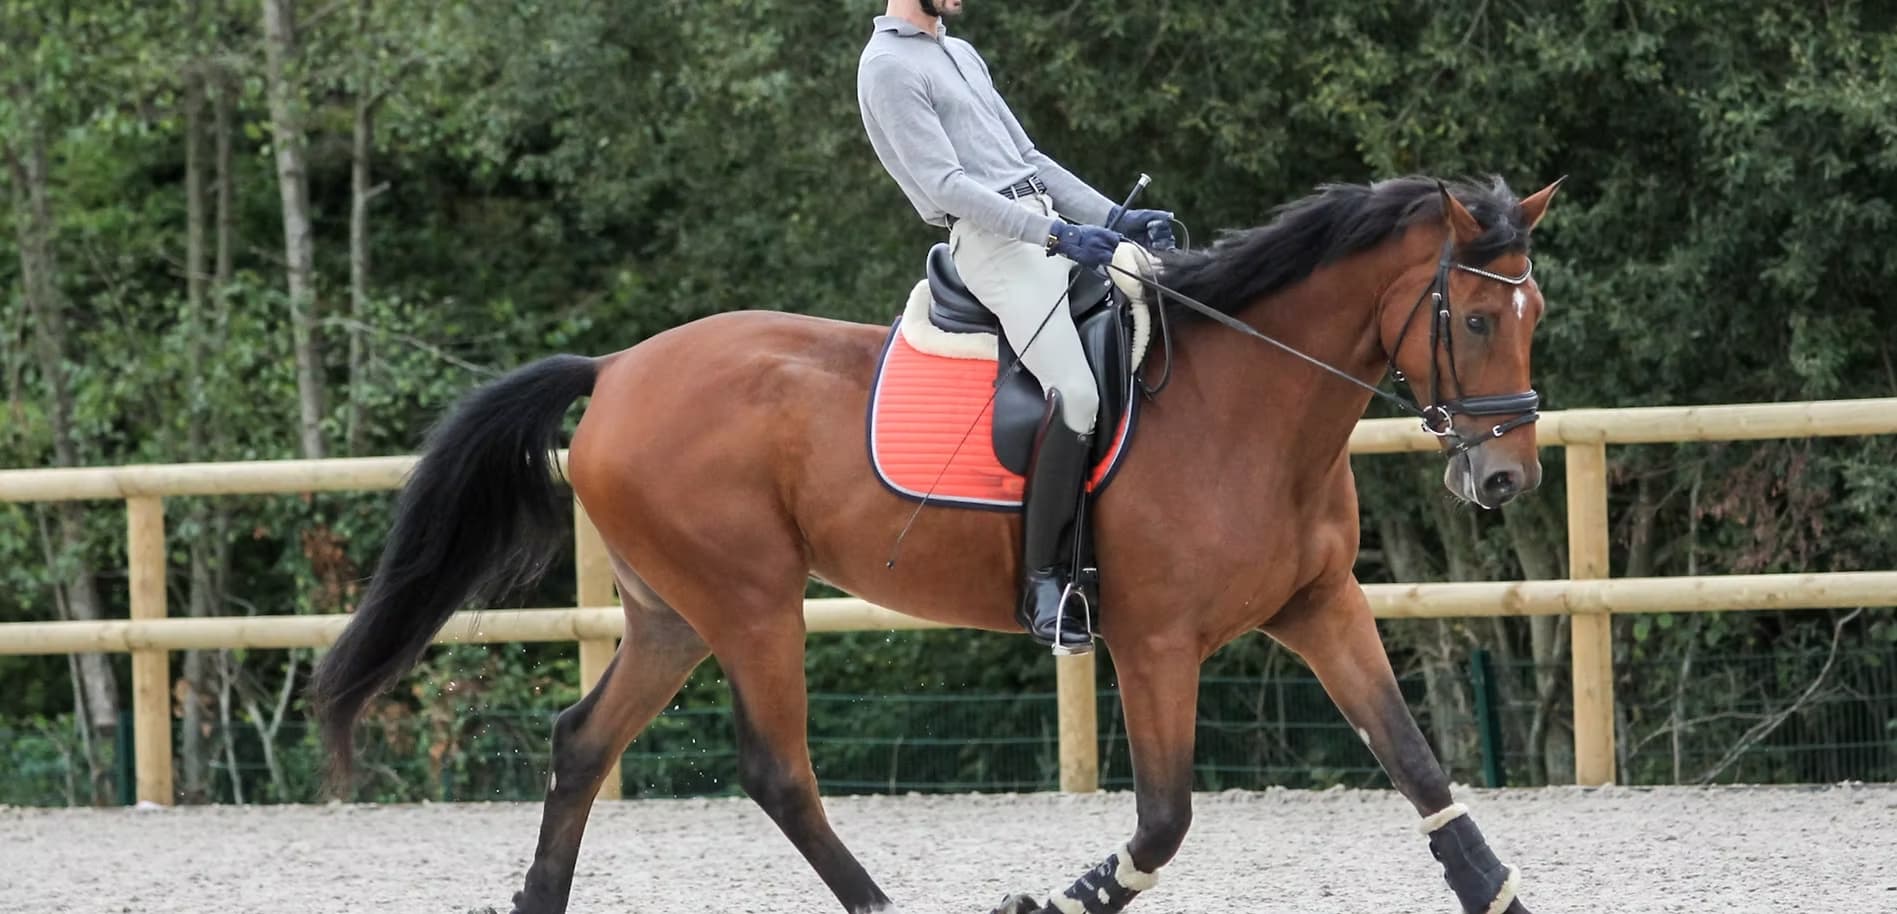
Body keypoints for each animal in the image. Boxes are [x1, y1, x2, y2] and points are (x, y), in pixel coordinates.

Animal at [309, 173, 1562, 914]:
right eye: (1474, 317)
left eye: (1531, 314)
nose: (1504, 477)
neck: (1244, 404)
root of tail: (617, 368)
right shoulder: (1155, 642)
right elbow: (1164, 818)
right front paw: (1059, 896)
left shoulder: (1321, 604)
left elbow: (1416, 760)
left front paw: (1495, 887)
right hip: (749, 601)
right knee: (777, 769)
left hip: (672, 615)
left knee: (580, 742)